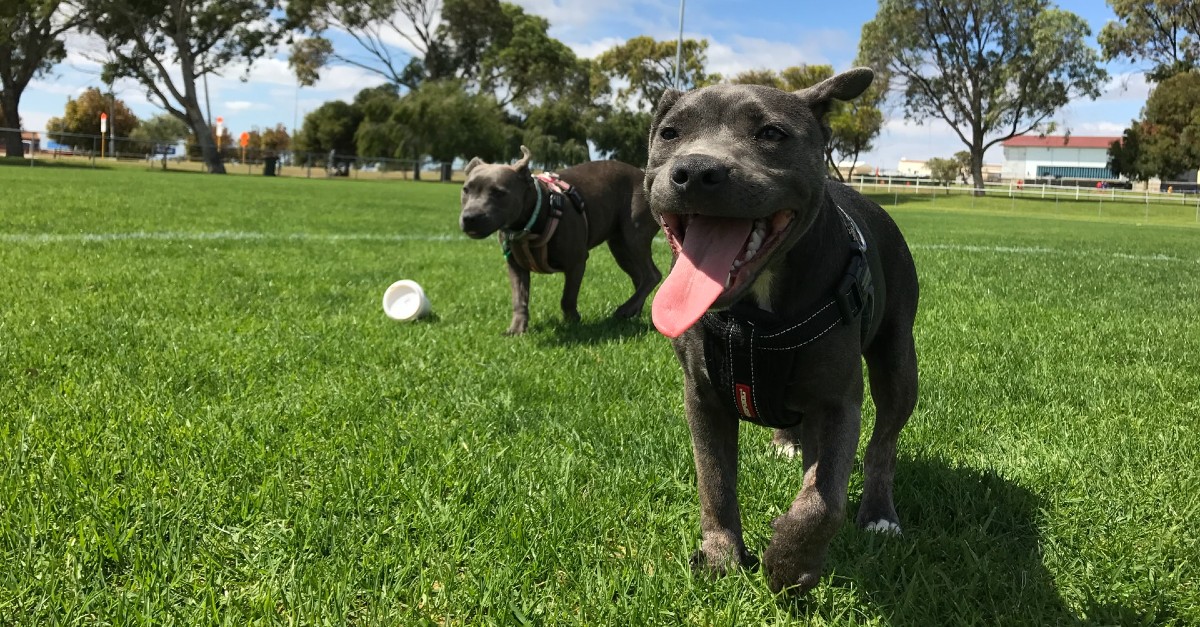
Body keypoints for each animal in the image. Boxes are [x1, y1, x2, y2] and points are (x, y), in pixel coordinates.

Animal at [460, 146, 667, 333]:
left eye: (498, 192)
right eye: (466, 190)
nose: (470, 217)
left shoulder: (577, 262)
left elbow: (567, 297)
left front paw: (572, 322)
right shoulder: (516, 267)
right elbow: (519, 299)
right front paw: (517, 329)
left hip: (633, 237)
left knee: (652, 275)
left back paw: (626, 309)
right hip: (620, 247)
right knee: (639, 277)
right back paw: (633, 311)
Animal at [648, 66, 916, 590]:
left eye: (771, 133)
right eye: (669, 133)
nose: (695, 170)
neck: (756, 315)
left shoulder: (837, 403)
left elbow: (822, 502)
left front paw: (789, 563)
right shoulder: (702, 397)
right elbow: (713, 480)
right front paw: (722, 555)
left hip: (899, 363)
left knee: (882, 445)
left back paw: (878, 513)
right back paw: (787, 443)